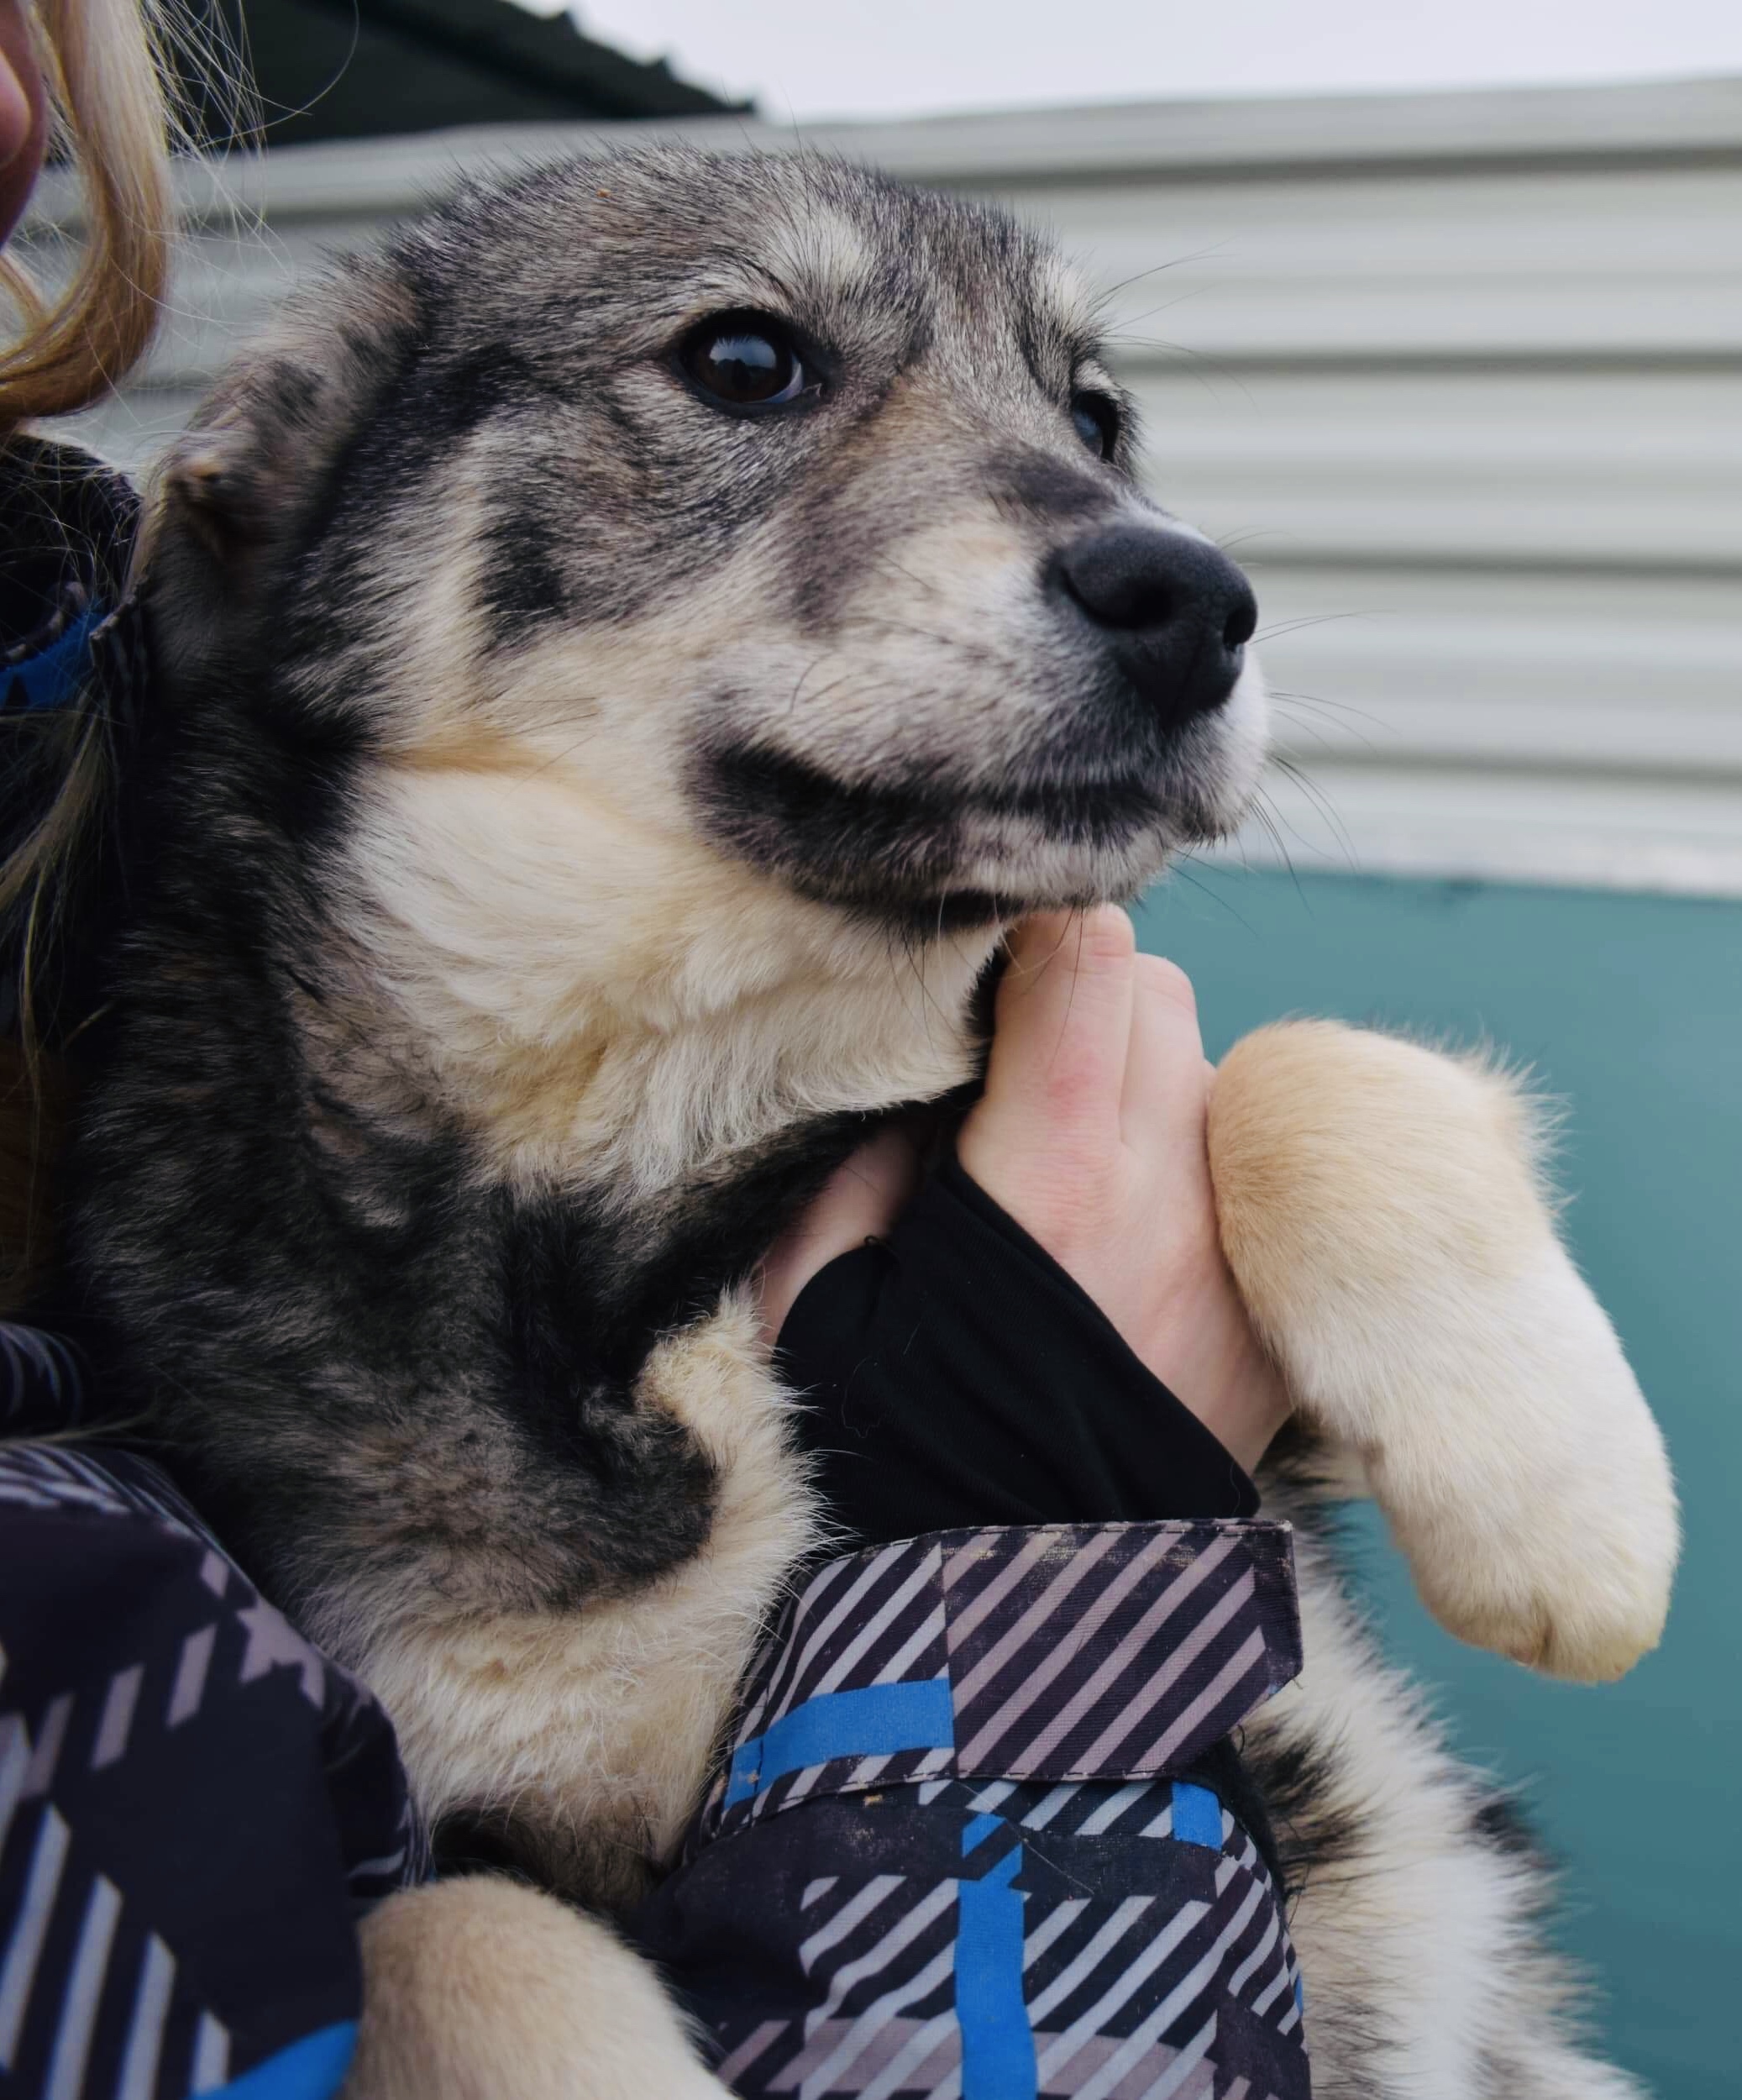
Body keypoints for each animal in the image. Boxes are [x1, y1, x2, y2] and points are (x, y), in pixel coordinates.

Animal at [69, 144, 1678, 2096]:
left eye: (1096, 417)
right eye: (744, 360)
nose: (1197, 602)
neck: (696, 1112)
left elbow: (1309, 1064)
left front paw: (1564, 1505)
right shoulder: (457, 1795)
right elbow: (442, 1931)